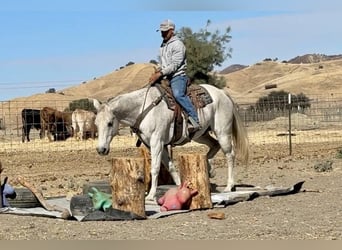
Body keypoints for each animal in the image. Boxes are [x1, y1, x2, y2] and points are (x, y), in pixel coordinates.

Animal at [93, 84, 248, 201]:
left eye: (109, 123)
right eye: (96, 124)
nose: (101, 150)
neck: (143, 109)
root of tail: (222, 93)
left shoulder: (157, 142)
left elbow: (155, 168)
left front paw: (150, 195)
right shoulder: (157, 145)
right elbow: (171, 167)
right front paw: (181, 188)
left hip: (223, 132)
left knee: (229, 155)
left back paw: (229, 186)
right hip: (200, 135)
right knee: (214, 145)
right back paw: (210, 170)